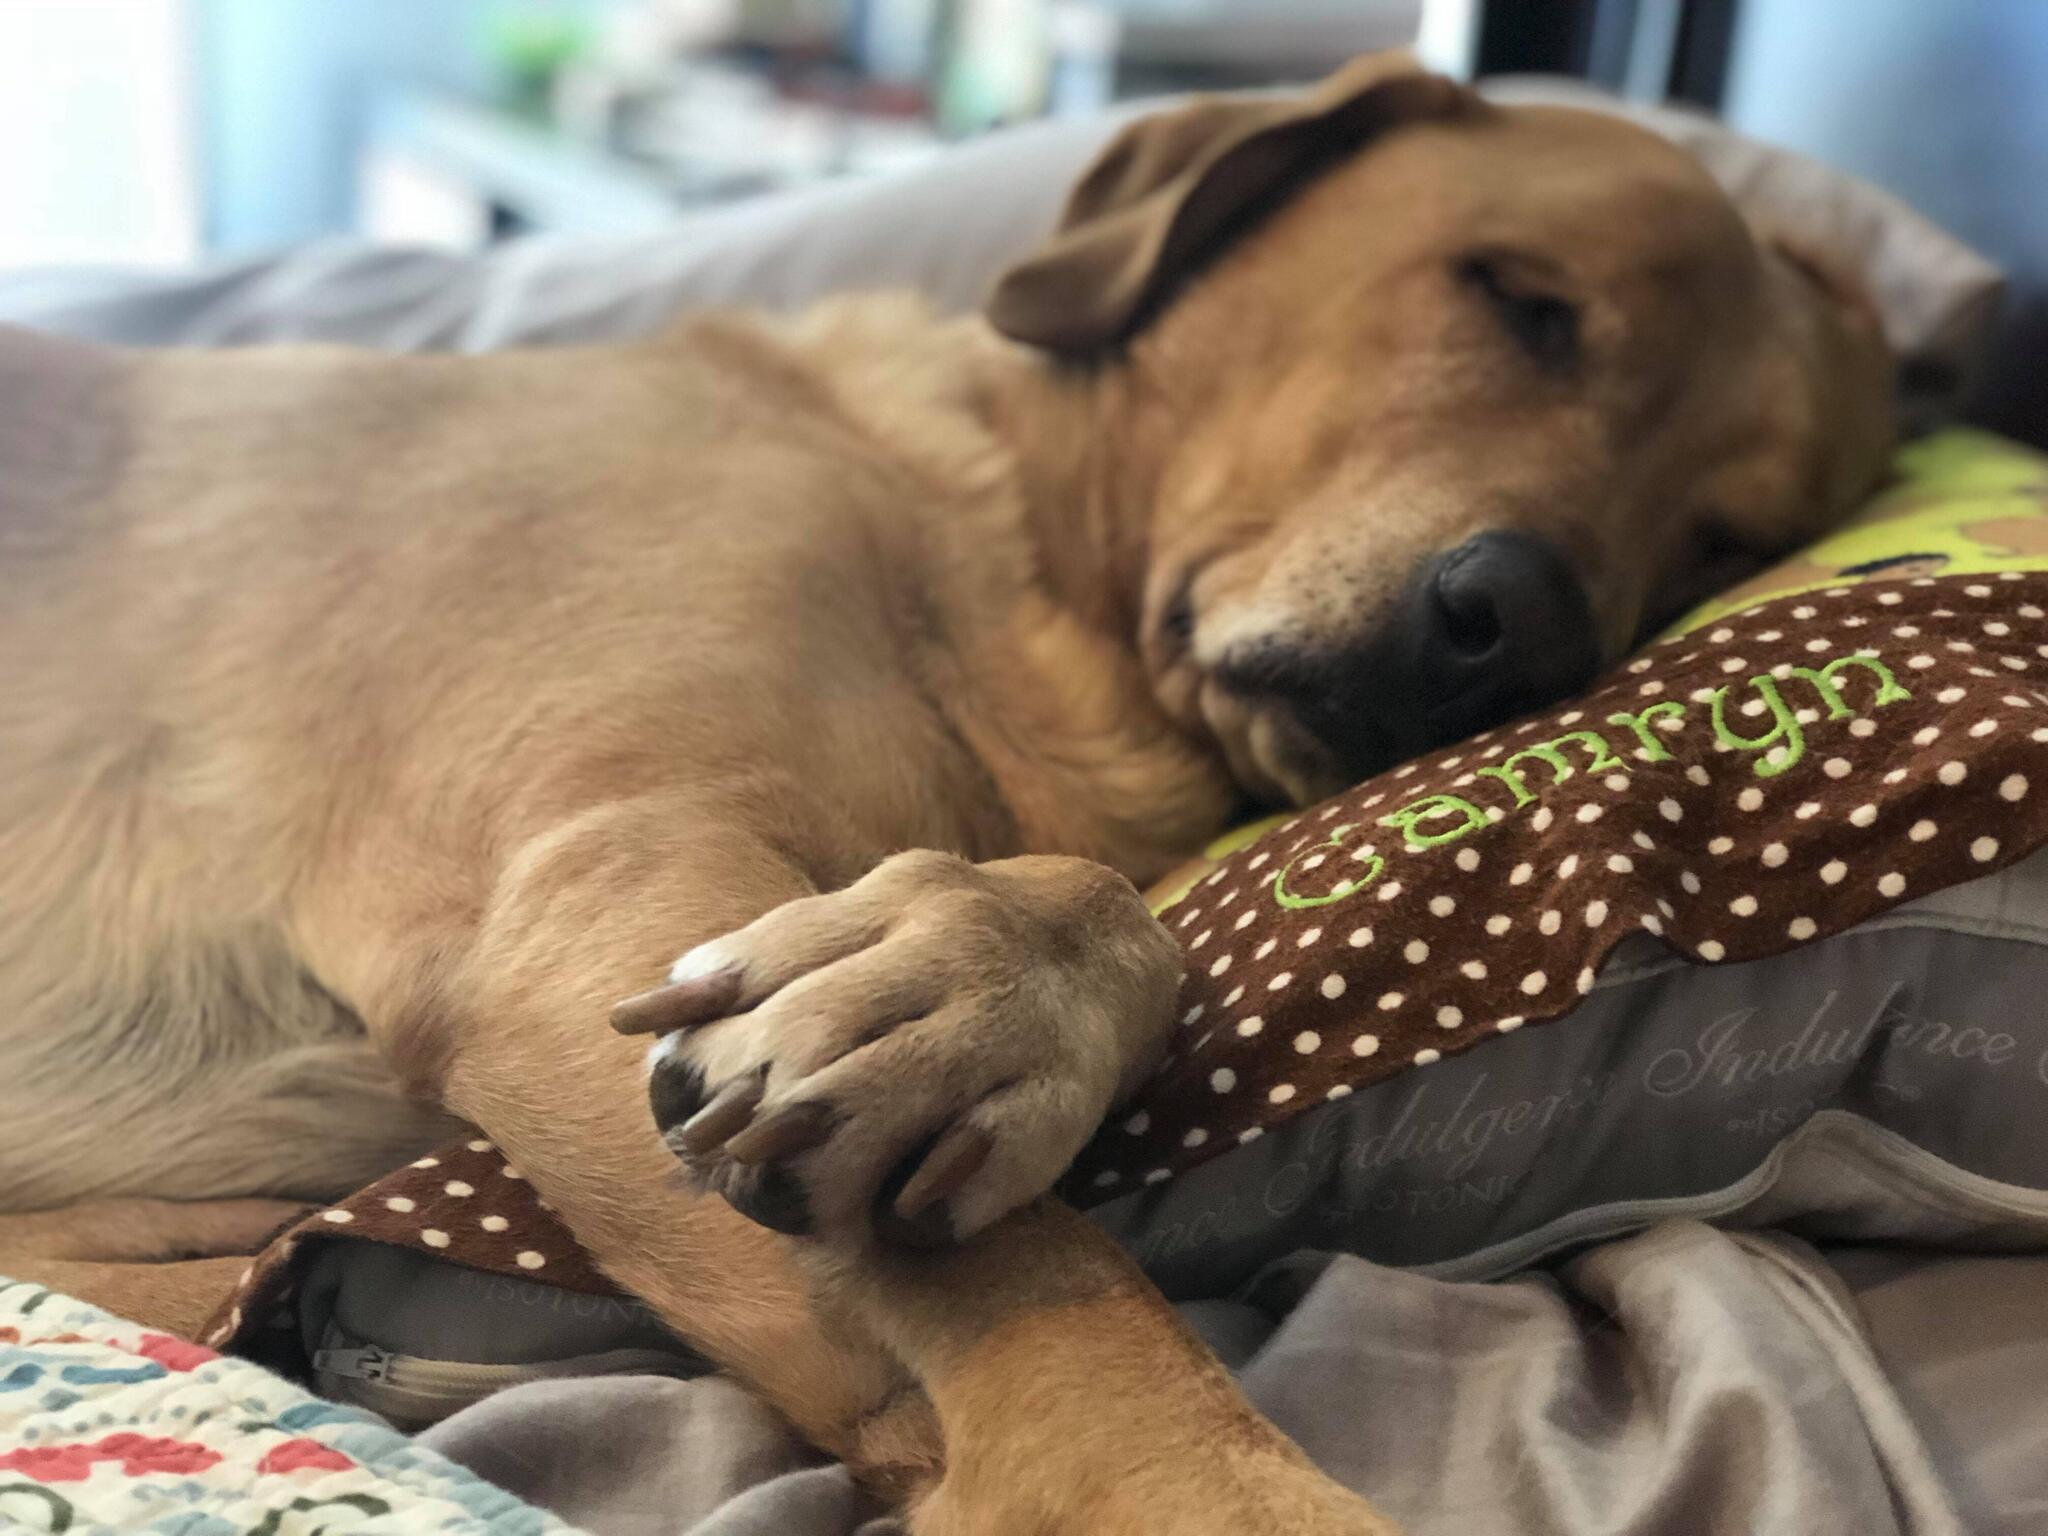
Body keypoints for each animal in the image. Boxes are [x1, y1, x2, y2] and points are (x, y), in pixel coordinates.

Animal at [0, 54, 1884, 1531]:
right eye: (1519, 301)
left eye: (1724, 537)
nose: (1527, 635)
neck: (989, 557)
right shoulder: (599, 871)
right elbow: (1072, 1300)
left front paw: (984, 978)